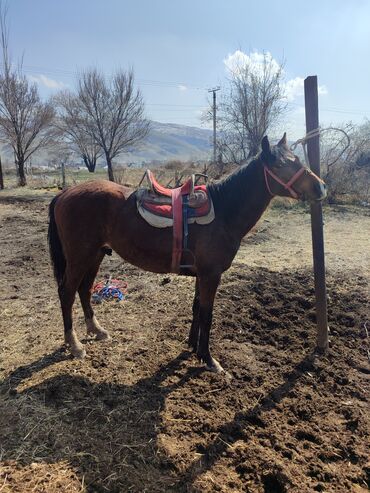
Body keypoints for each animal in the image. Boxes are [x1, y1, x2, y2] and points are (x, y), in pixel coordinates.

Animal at [47, 133, 326, 370]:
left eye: (297, 159)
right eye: (282, 165)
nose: (321, 188)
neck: (225, 211)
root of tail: (64, 194)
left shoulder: (201, 274)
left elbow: (196, 308)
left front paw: (193, 347)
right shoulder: (211, 275)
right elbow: (207, 314)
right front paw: (208, 358)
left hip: (95, 255)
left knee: (84, 290)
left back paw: (97, 330)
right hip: (80, 257)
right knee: (67, 292)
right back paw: (74, 345)